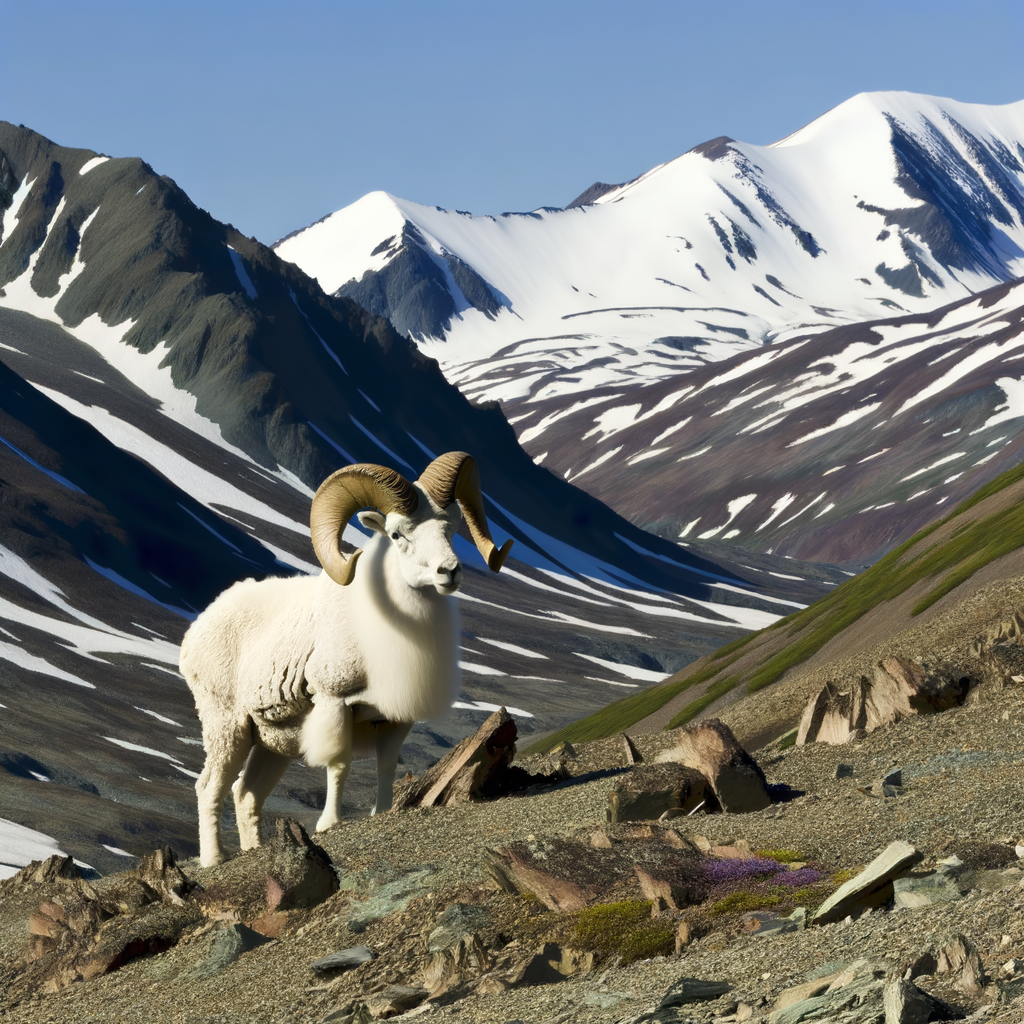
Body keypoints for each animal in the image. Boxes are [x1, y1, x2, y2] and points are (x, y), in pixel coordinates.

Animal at [179, 451, 513, 867]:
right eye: (397, 535)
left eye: (450, 528)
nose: (449, 572)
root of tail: (196, 632)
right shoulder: (334, 703)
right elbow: (339, 763)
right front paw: (329, 824)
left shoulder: (395, 719)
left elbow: (387, 766)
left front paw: (381, 812)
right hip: (228, 730)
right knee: (209, 787)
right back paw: (215, 859)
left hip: (270, 745)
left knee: (246, 794)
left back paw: (252, 850)